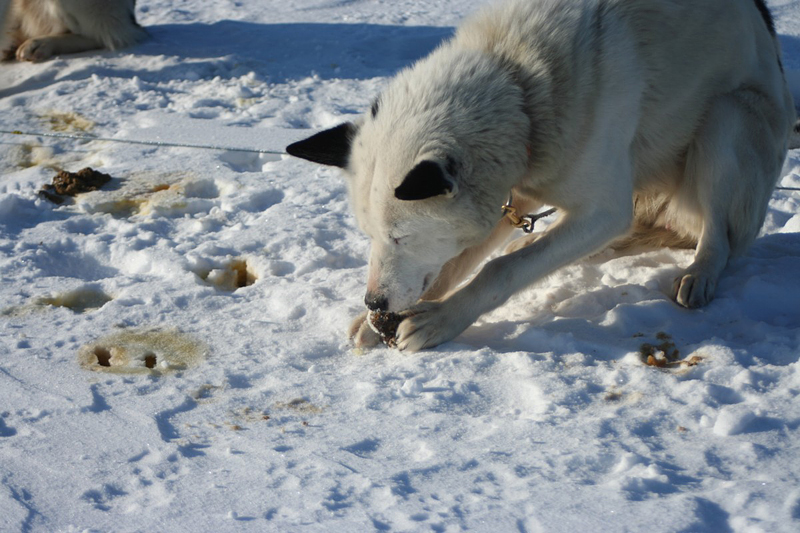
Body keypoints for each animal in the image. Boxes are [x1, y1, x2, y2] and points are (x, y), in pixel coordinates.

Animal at [286, 0, 792, 352]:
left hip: (727, 119)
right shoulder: (511, 195)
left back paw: (701, 271)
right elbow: (457, 261)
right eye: (370, 234)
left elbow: (499, 270)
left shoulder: (602, 209)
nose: (373, 303)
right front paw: (384, 321)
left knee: (720, 236)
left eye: (400, 237)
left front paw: (441, 320)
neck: (518, 81)